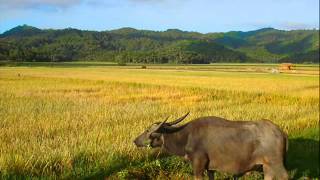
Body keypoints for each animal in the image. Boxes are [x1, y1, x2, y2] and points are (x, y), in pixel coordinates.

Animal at [134, 113, 288, 179]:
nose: (135, 140)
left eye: (147, 130)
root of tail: (281, 132)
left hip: (276, 164)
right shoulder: (210, 168)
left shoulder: (198, 164)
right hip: (266, 166)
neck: (186, 136)